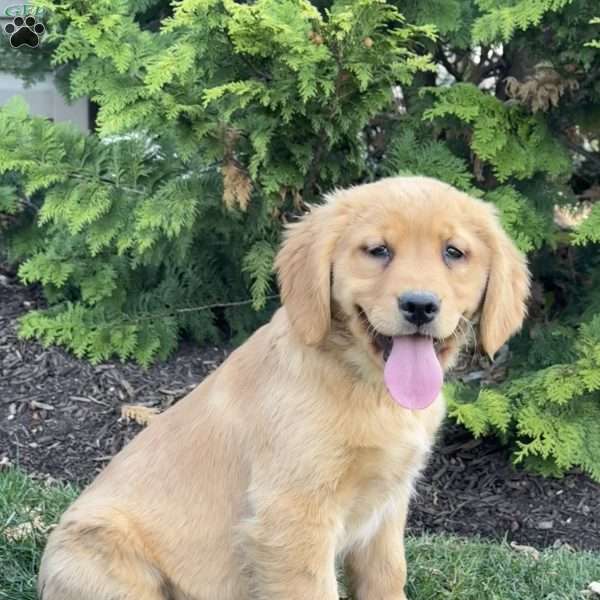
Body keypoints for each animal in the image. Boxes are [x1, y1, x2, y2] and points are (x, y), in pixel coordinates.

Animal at [38, 176, 528, 596]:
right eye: (377, 250)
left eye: (453, 252)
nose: (421, 305)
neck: (368, 386)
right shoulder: (292, 515)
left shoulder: (388, 505)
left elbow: (388, 575)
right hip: (101, 551)